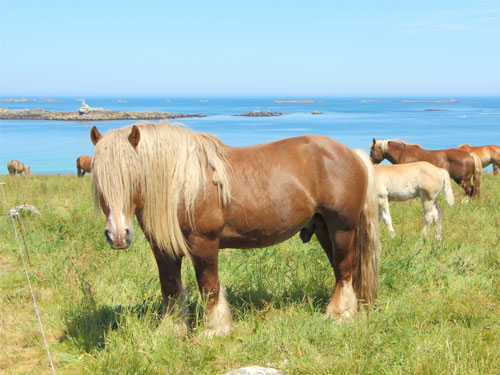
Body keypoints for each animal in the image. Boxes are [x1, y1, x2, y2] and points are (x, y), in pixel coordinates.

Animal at [90, 123, 380, 338]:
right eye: (98, 181)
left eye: (132, 176)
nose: (118, 236)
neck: (184, 184)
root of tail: (351, 153)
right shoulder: (164, 250)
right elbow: (170, 288)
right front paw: (172, 329)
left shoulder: (203, 244)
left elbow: (209, 286)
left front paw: (214, 330)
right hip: (323, 229)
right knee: (342, 270)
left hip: (341, 229)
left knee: (344, 269)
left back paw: (339, 315)